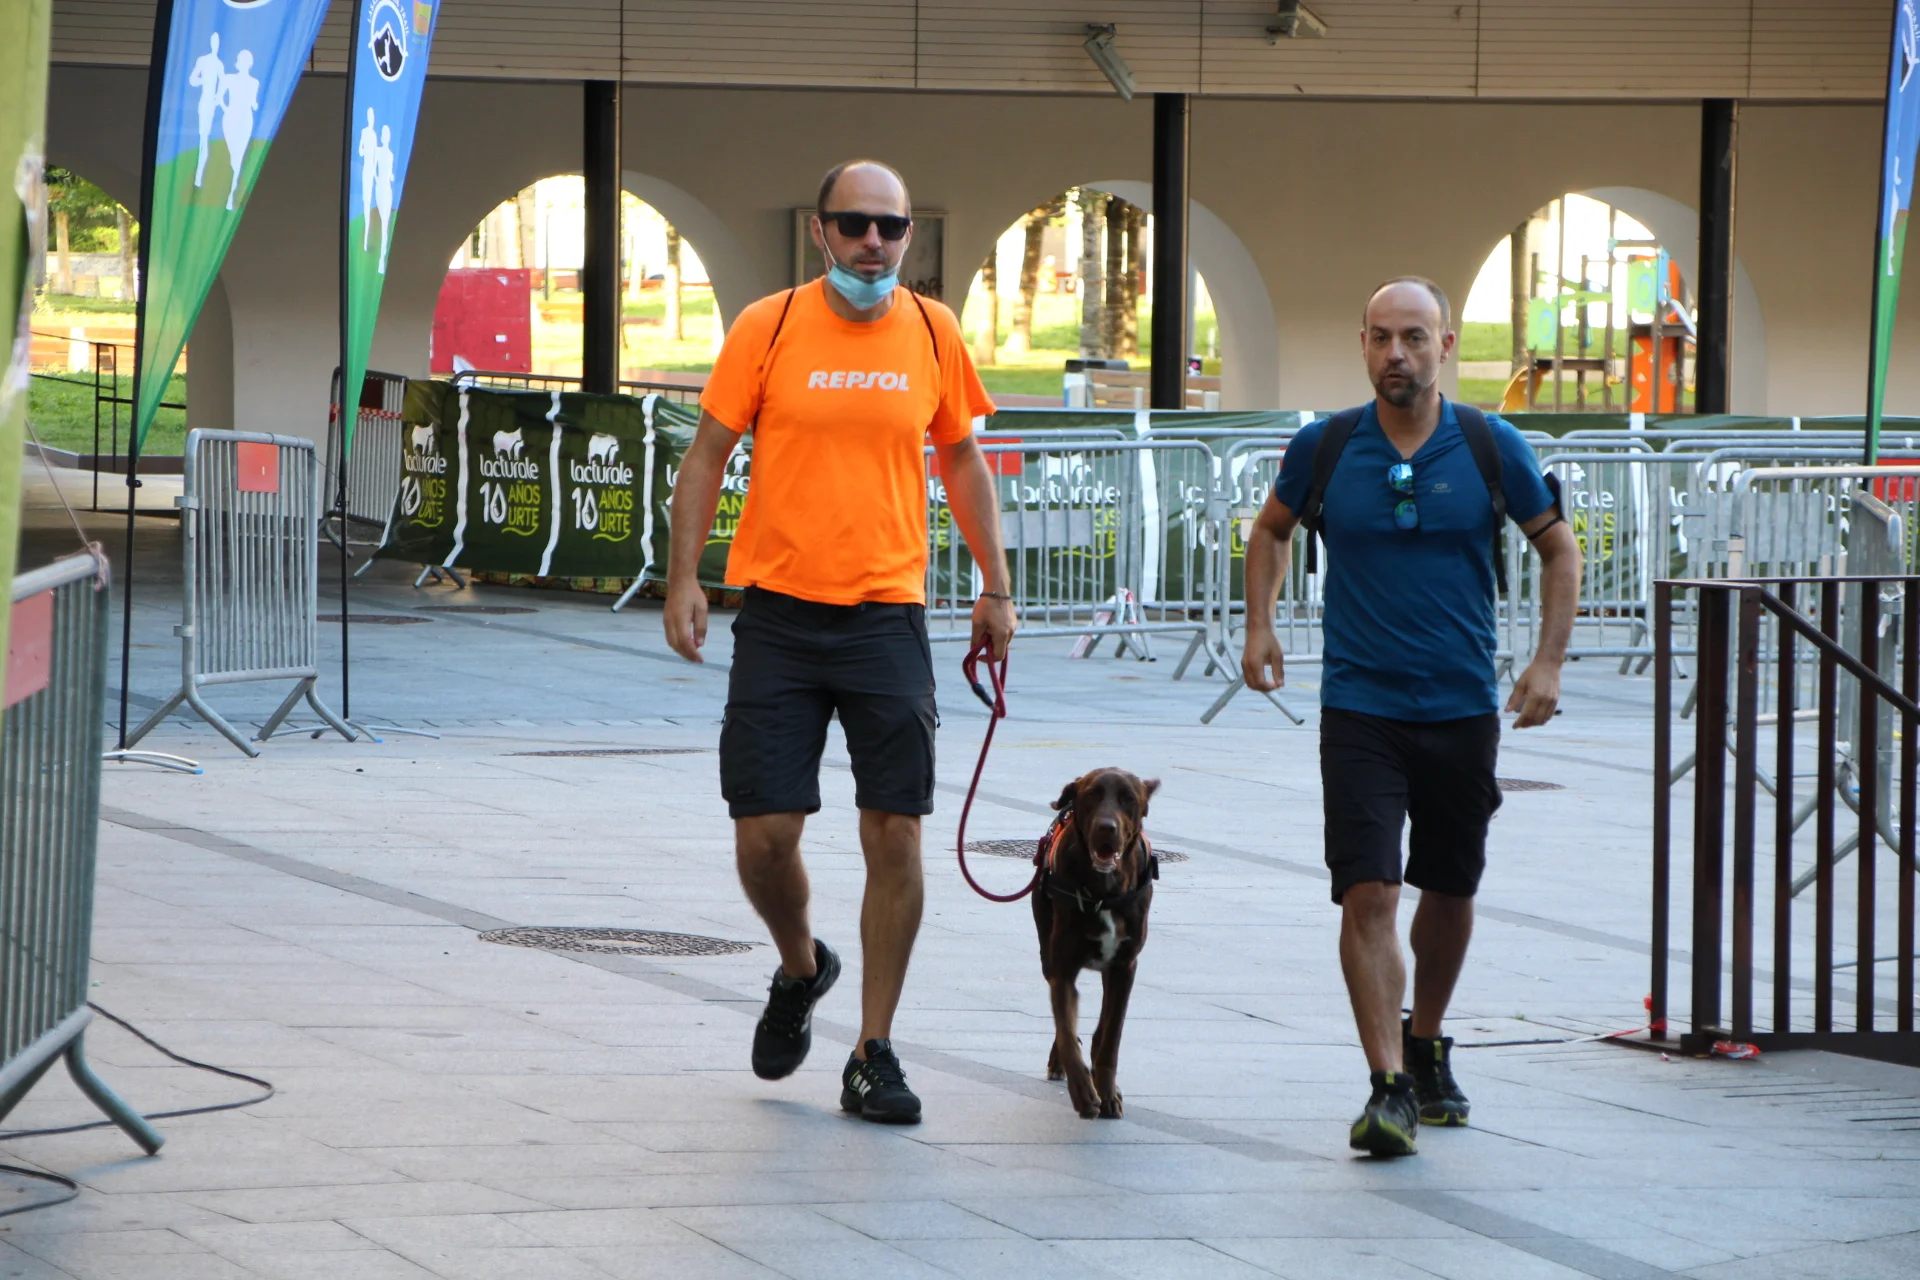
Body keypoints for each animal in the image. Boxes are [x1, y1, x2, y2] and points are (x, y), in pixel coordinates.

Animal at [1031, 768, 1160, 1119]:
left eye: (1128, 798)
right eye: (1091, 795)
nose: (1106, 827)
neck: (1105, 892)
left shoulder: (1125, 966)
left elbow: (1111, 1038)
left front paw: (1108, 1092)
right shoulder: (1062, 968)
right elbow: (1065, 1029)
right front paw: (1083, 1091)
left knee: (1102, 1028)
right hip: (1046, 949)